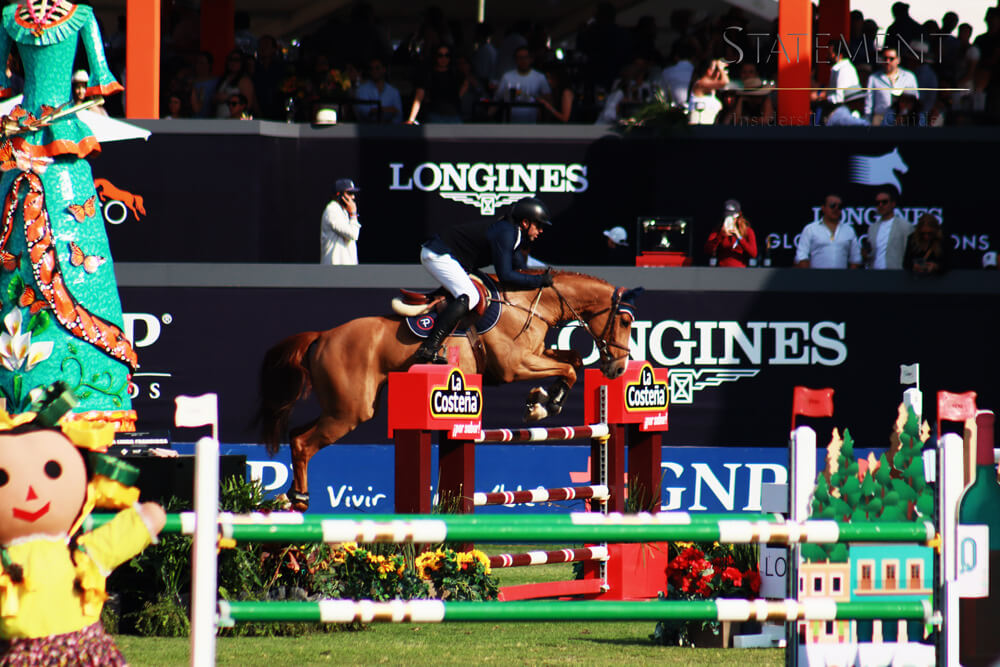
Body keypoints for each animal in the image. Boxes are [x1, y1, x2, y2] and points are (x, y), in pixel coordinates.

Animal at [255, 270, 640, 510]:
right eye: (624, 321)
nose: (619, 368)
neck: (532, 305)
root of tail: (322, 336)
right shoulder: (515, 365)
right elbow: (569, 367)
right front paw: (544, 405)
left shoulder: (534, 355)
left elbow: (572, 359)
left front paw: (542, 400)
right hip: (349, 411)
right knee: (304, 444)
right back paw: (300, 499)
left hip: (342, 408)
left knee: (297, 434)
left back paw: (290, 496)